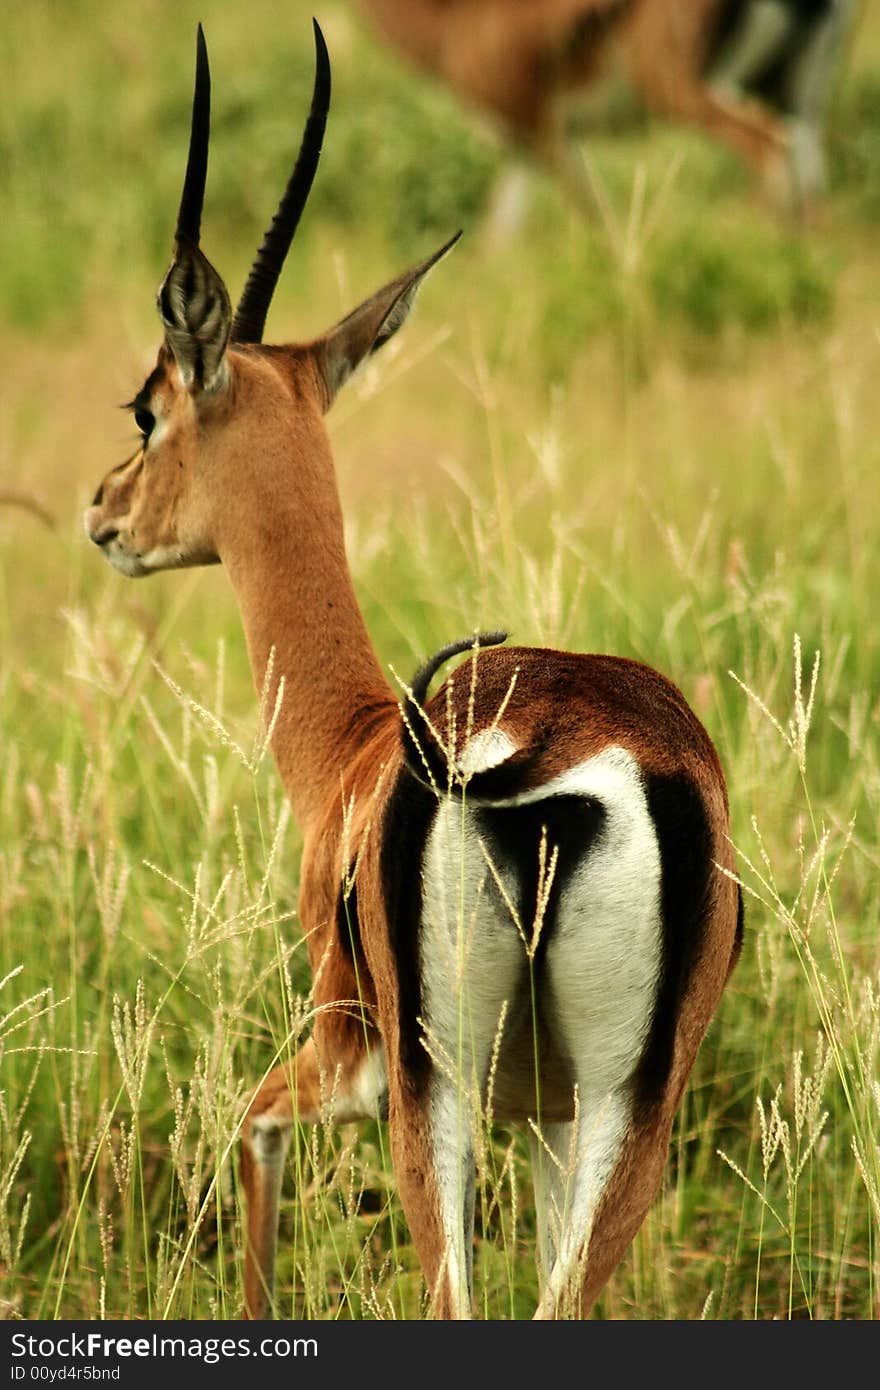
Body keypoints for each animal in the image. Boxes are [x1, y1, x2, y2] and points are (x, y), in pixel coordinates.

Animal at [84, 24, 739, 1323]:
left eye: (147, 406)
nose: (102, 512)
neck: (350, 750)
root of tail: (549, 771)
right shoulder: (545, 1116)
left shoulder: (352, 1056)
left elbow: (251, 1128)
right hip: (623, 1112)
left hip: (437, 1102)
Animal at [351, 1, 856, 212]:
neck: (452, 23)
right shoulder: (522, 147)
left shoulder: (543, 132)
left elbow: (597, 219)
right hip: (800, 97)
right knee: (810, 187)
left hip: (687, 90)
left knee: (767, 148)